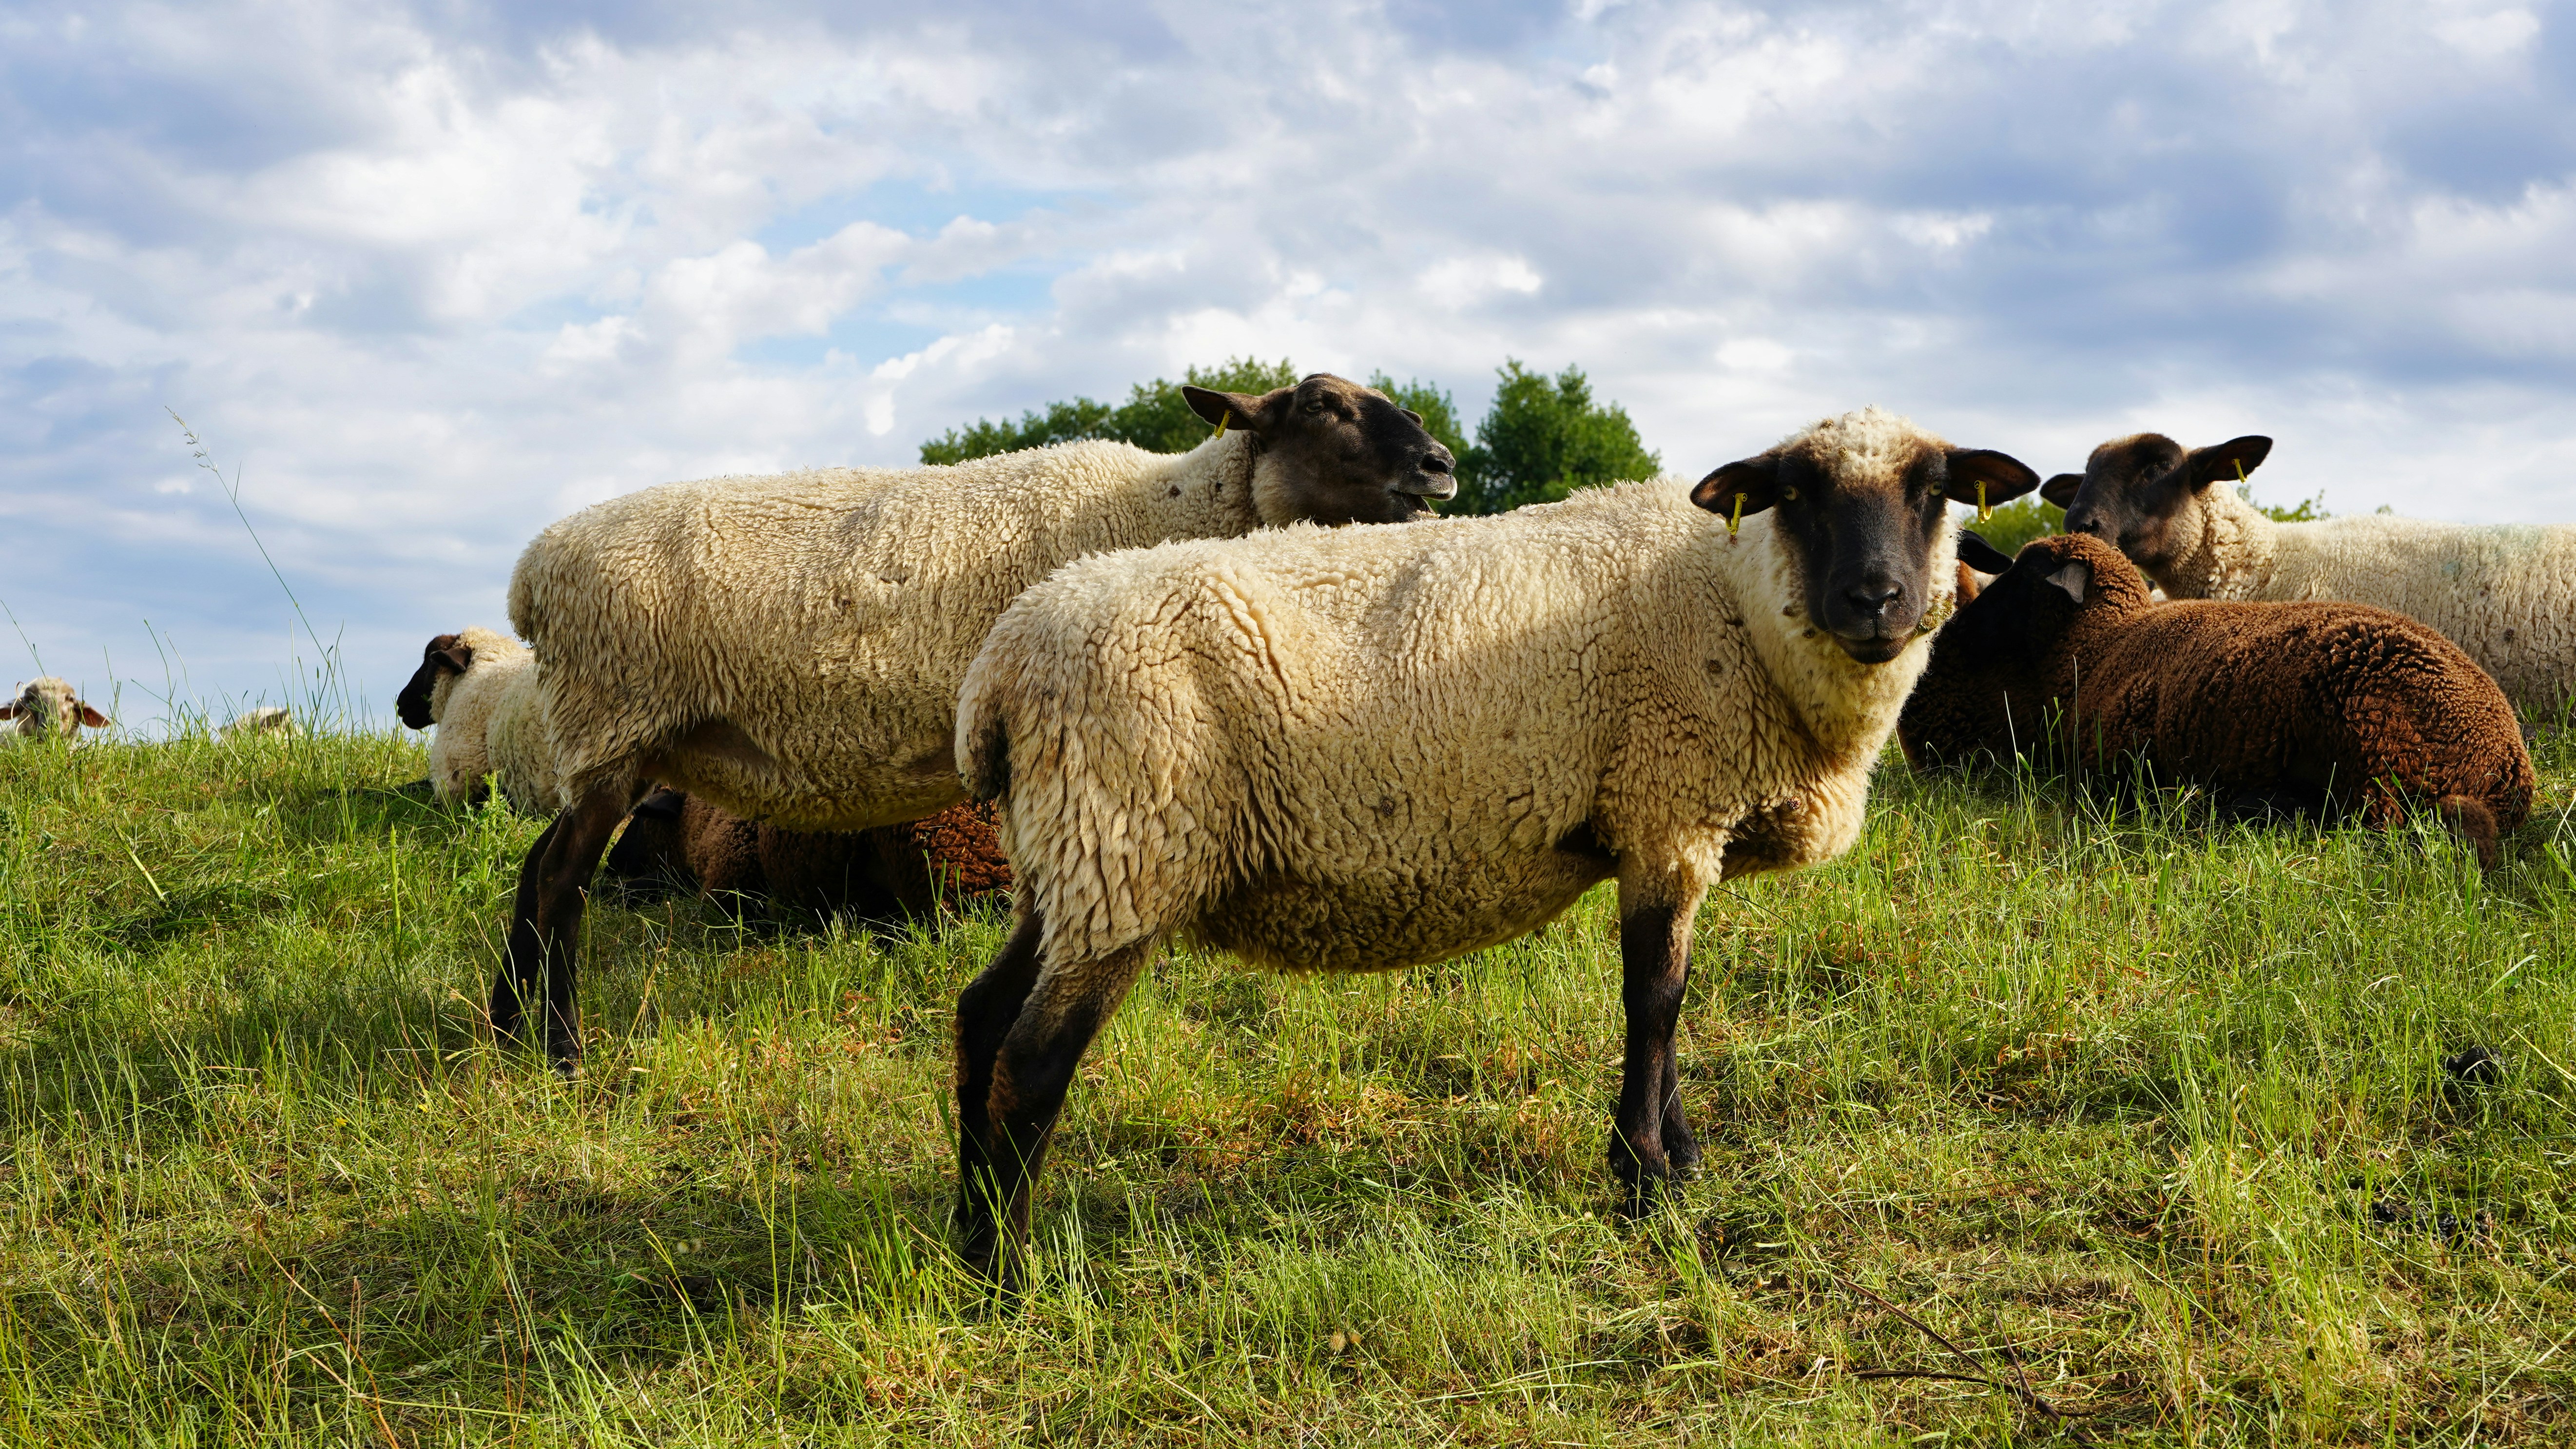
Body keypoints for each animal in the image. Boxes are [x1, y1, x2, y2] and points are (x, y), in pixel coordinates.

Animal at [946, 406, 2040, 1279]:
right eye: (1798, 494)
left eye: (1934, 492)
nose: (1874, 600)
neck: (1735, 597)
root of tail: (997, 670)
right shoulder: (1665, 805)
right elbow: (1654, 998)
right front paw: (1644, 1179)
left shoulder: (1674, 822)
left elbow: (1674, 999)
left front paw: (1677, 1155)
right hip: (1128, 845)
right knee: (1031, 1061)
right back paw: (1012, 1271)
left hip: (1067, 859)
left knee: (980, 1016)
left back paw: (965, 1234)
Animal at [1897, 531, 2534, 865]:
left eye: (2021, 576)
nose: (1956, 626)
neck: (2096, 645)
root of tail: (2505, 766)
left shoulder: (2117, 765)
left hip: (2379, 746)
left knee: (2372, 827)